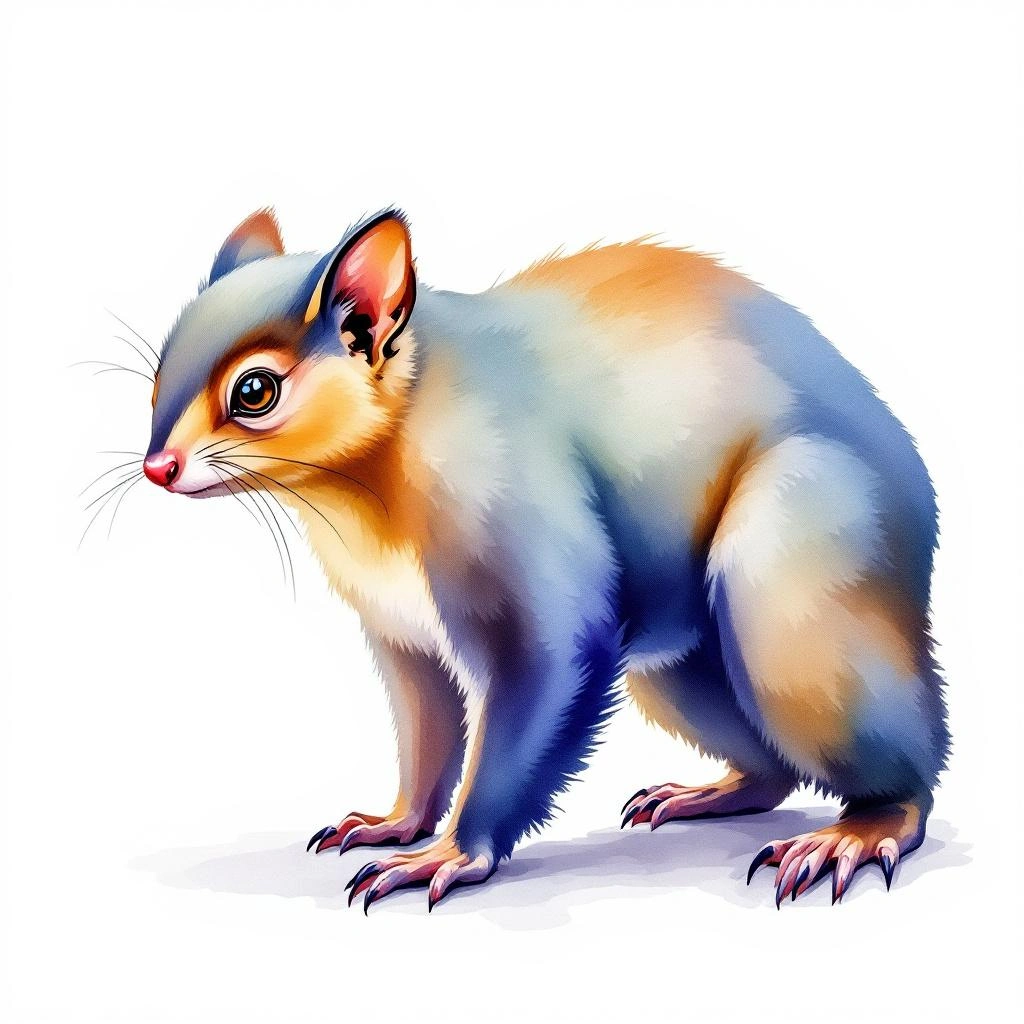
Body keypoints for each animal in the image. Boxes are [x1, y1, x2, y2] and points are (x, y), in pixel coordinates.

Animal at [138, 207, 949, 911]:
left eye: (255, 391)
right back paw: (711, 792)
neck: (361, 485)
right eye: (157, 377)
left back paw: (863, 829)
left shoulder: (506, 502)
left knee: (902, 762)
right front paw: (397, 822)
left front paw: (451, 854)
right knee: (771, 764)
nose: (157, 468)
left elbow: (548, 664)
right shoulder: (397, 628)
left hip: (794, 575)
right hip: (677, 662)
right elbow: (425, 727)